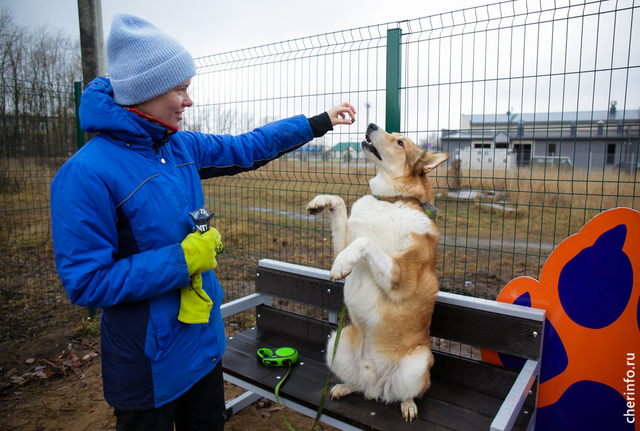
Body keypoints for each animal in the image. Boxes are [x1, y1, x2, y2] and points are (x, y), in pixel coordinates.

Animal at [306, 124, 450, 422]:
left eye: (400, 142)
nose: (371, 125)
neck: (391, 200)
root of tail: (376, 386)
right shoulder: (344, 240)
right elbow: (339, 203)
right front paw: (320, 202)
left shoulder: (402, 277)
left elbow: (365, 243)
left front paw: (341, 265)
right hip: (337, 340)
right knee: (358, 385)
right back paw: (344, 387)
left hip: (419, 363)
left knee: (409, 393)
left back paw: (408, 406)